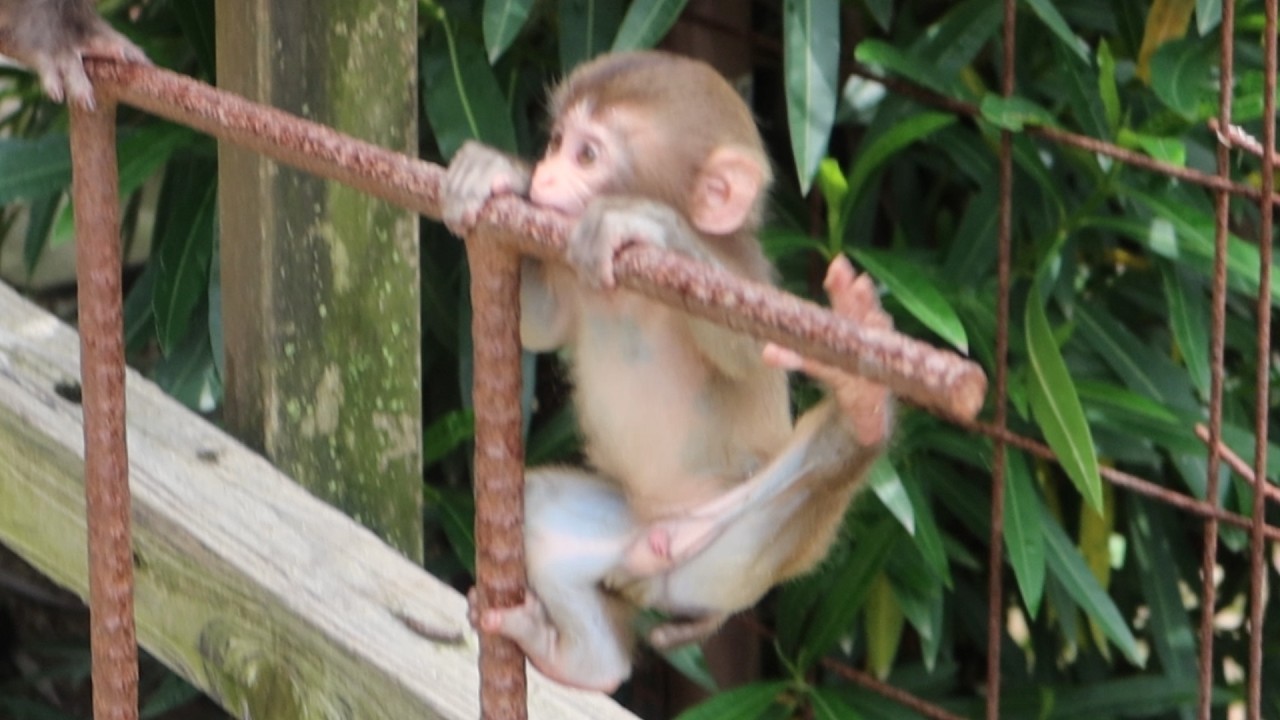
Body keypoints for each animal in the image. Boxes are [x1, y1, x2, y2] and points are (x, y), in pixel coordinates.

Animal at [443, 51, 894, 692]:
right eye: (556, 143)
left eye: (587, 155)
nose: (547, 175)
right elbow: (540, 323)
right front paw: (497, 171)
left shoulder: (739, 268)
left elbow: (753, 348)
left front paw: (646, 223)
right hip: (620, 534)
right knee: (543, 513)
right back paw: (583, 660)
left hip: (738, 553)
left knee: (824, 462)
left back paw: (862, 402)